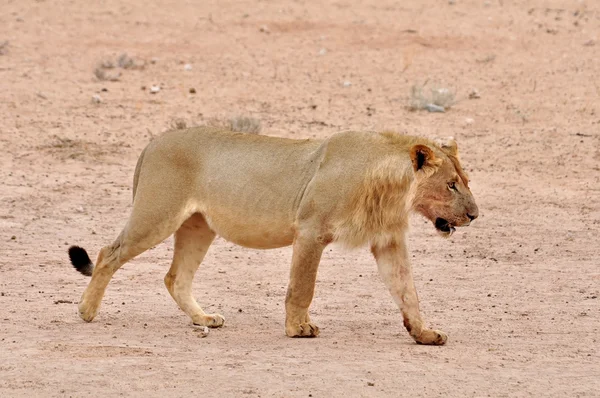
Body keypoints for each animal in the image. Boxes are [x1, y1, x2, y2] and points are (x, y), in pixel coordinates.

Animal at [68, 127, 478, 346]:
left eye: (465, 182)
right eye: (451, 185)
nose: (475, 215)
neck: (391, 189)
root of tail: (153, 142)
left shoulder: (388, 241)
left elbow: (408, 292)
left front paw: (424, 334)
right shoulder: (311, 230)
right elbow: (302, 287)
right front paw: (299, 329)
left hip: (198, 226)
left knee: (175, 277)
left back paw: (204, 319)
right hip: (157, 215)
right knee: (107, 253)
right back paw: (87, 311)